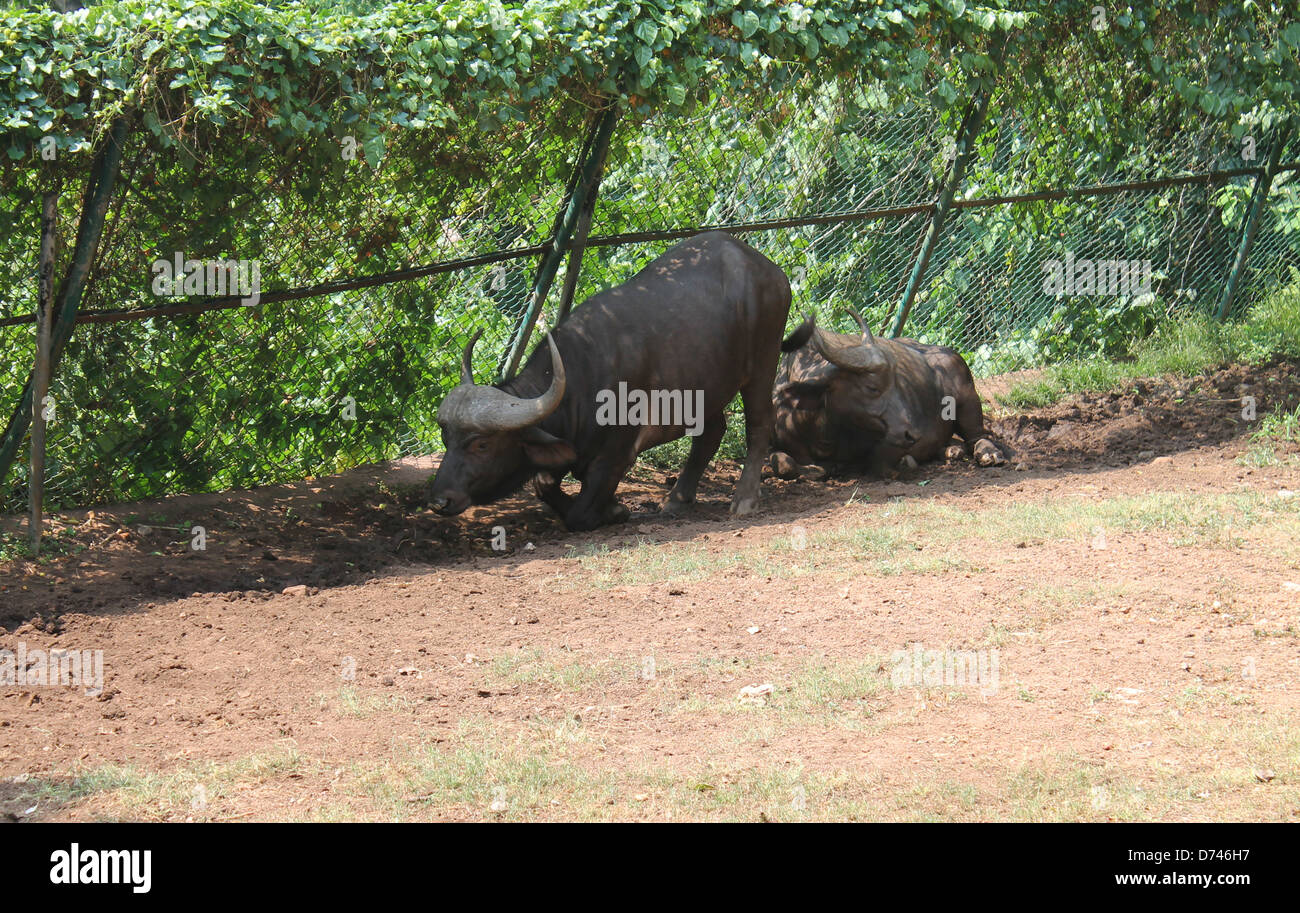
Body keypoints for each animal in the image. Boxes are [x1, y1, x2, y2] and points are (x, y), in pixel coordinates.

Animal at [426, 230, 800, 530]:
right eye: (446, 438)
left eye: (481, 444)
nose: (439, 500)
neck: (581, 380)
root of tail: (771, 271)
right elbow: (544, 485)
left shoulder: (618, 453)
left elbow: (579, 513)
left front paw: (613, 511)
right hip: (705, 384)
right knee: (712, 433)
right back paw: (677, 498)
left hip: (763, 363)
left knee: (759, 424)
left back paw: (745, 498)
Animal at [769, 306, 1003, 478]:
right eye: (872, 387)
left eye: (896, 384)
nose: (912, 434)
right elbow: (785, 462)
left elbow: (878, 460)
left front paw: (903, 463)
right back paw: (951, 450)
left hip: (968, 399)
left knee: (977, 436)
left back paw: (988, 453)